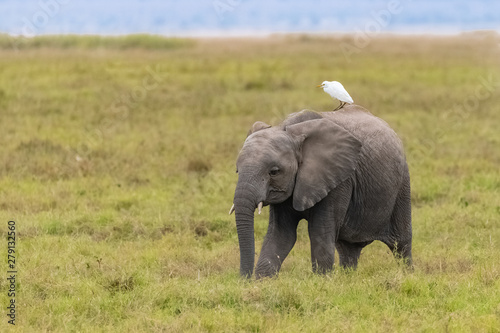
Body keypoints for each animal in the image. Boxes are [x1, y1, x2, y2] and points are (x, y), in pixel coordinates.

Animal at [229, 104, 410, 278]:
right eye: (237, 171)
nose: (243, 279)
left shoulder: (338, 180)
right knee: (348, 248)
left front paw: (322, 281)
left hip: (402, 183)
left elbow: (320, 233)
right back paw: (348, 279)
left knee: (401, 243)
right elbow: (280, 236)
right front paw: (263, 281)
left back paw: (408, 275)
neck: (289, 130)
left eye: (274, 172)